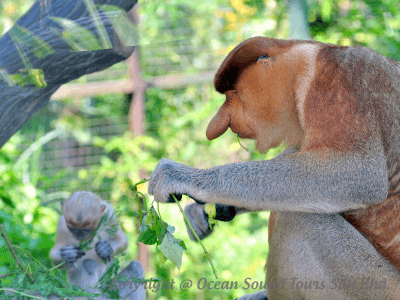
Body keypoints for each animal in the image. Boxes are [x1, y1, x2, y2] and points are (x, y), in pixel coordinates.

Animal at [150, 37, 400, 300]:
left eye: (233, 93)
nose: (215, 127)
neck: (307, 64)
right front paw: (203, 212)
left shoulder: (338, 80)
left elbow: (358, 171)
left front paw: (181, 177)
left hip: (374, 284)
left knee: (296, 218)